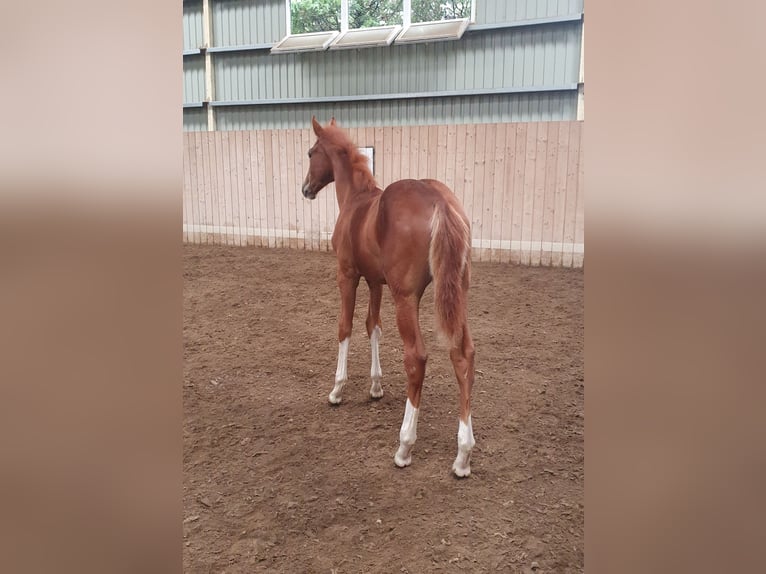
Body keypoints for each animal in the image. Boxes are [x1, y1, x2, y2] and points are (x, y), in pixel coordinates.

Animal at [302, 116, 476, 476]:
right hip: (457, 293)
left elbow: (345, 327)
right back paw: (463, 455)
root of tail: (440, 201)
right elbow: (373, 326)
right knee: (463, 354)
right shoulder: (375, 282)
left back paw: (404, 446)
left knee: (416, 358)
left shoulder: (348, 276)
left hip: (406, 297)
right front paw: (376, 386)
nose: (306, 189)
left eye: (311, 153)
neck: (357, 201)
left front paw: (337, 390)